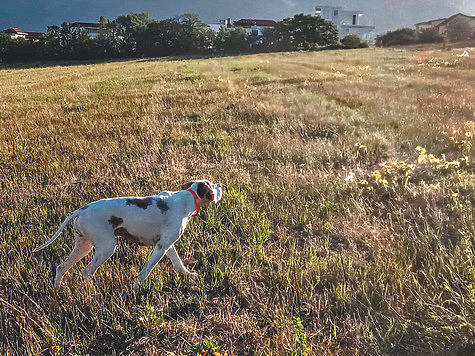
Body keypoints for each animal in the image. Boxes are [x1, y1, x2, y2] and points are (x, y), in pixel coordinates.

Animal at [33, 181, 223, 290]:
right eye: (212, 184)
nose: (220, 184)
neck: (186, 199)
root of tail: (81, 210)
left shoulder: (167, 245)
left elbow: (178, 263)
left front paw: (188, 275)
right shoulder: (160, 248)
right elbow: (144, 272)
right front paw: (136, 288)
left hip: (83, 246)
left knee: (61, 267)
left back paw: (57, 291)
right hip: (106, 248)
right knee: (86, 272)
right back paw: (93, 293)